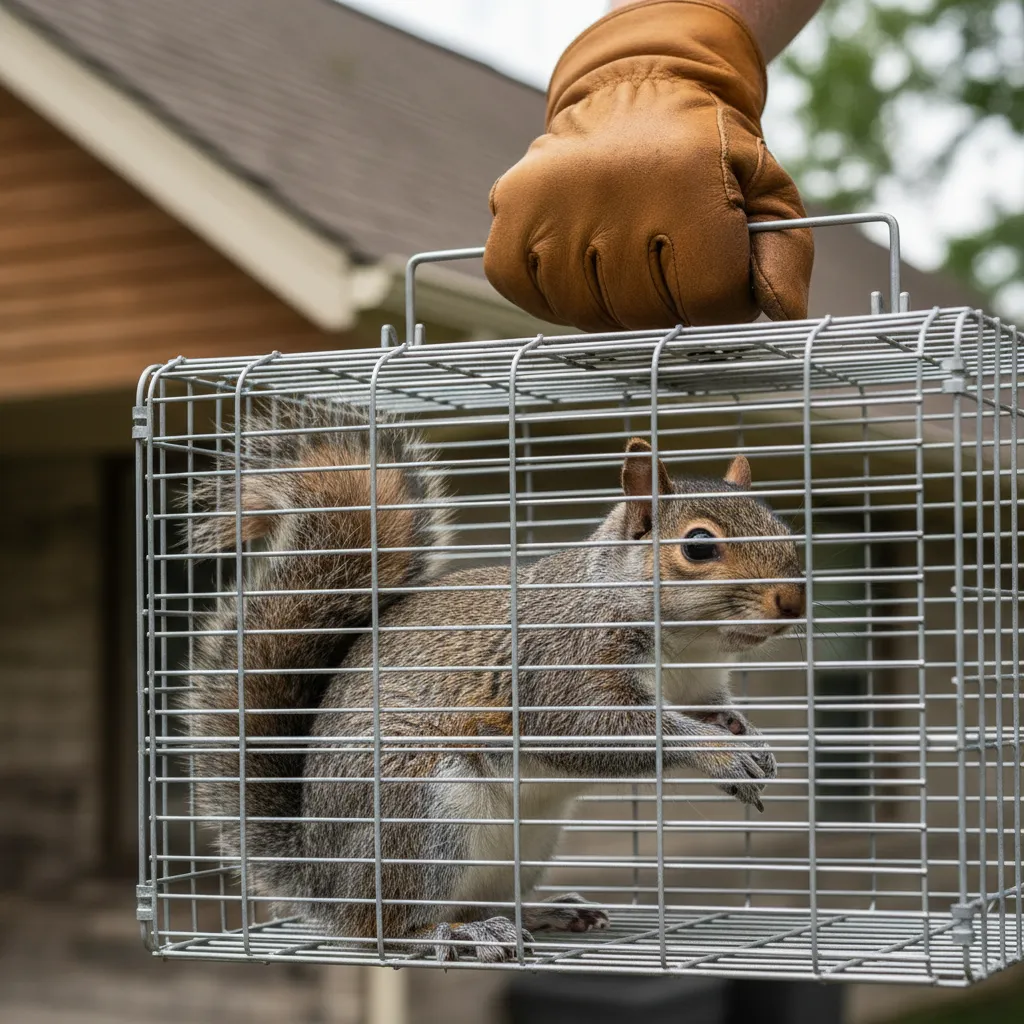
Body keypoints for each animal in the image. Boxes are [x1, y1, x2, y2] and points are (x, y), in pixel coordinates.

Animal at [185, 401, 805, 963]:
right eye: (699, 545)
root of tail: (322, 874)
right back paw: (454, 934)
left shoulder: (698, 683)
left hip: (527, 840)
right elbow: (605, 729)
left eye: (784, 529)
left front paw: (744, 736)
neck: (687, 646)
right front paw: (719, 753)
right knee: (382, 928)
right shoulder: (560, 670)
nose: (794, 601)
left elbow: (710, 710)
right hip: (417, 810)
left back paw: (539, 912)